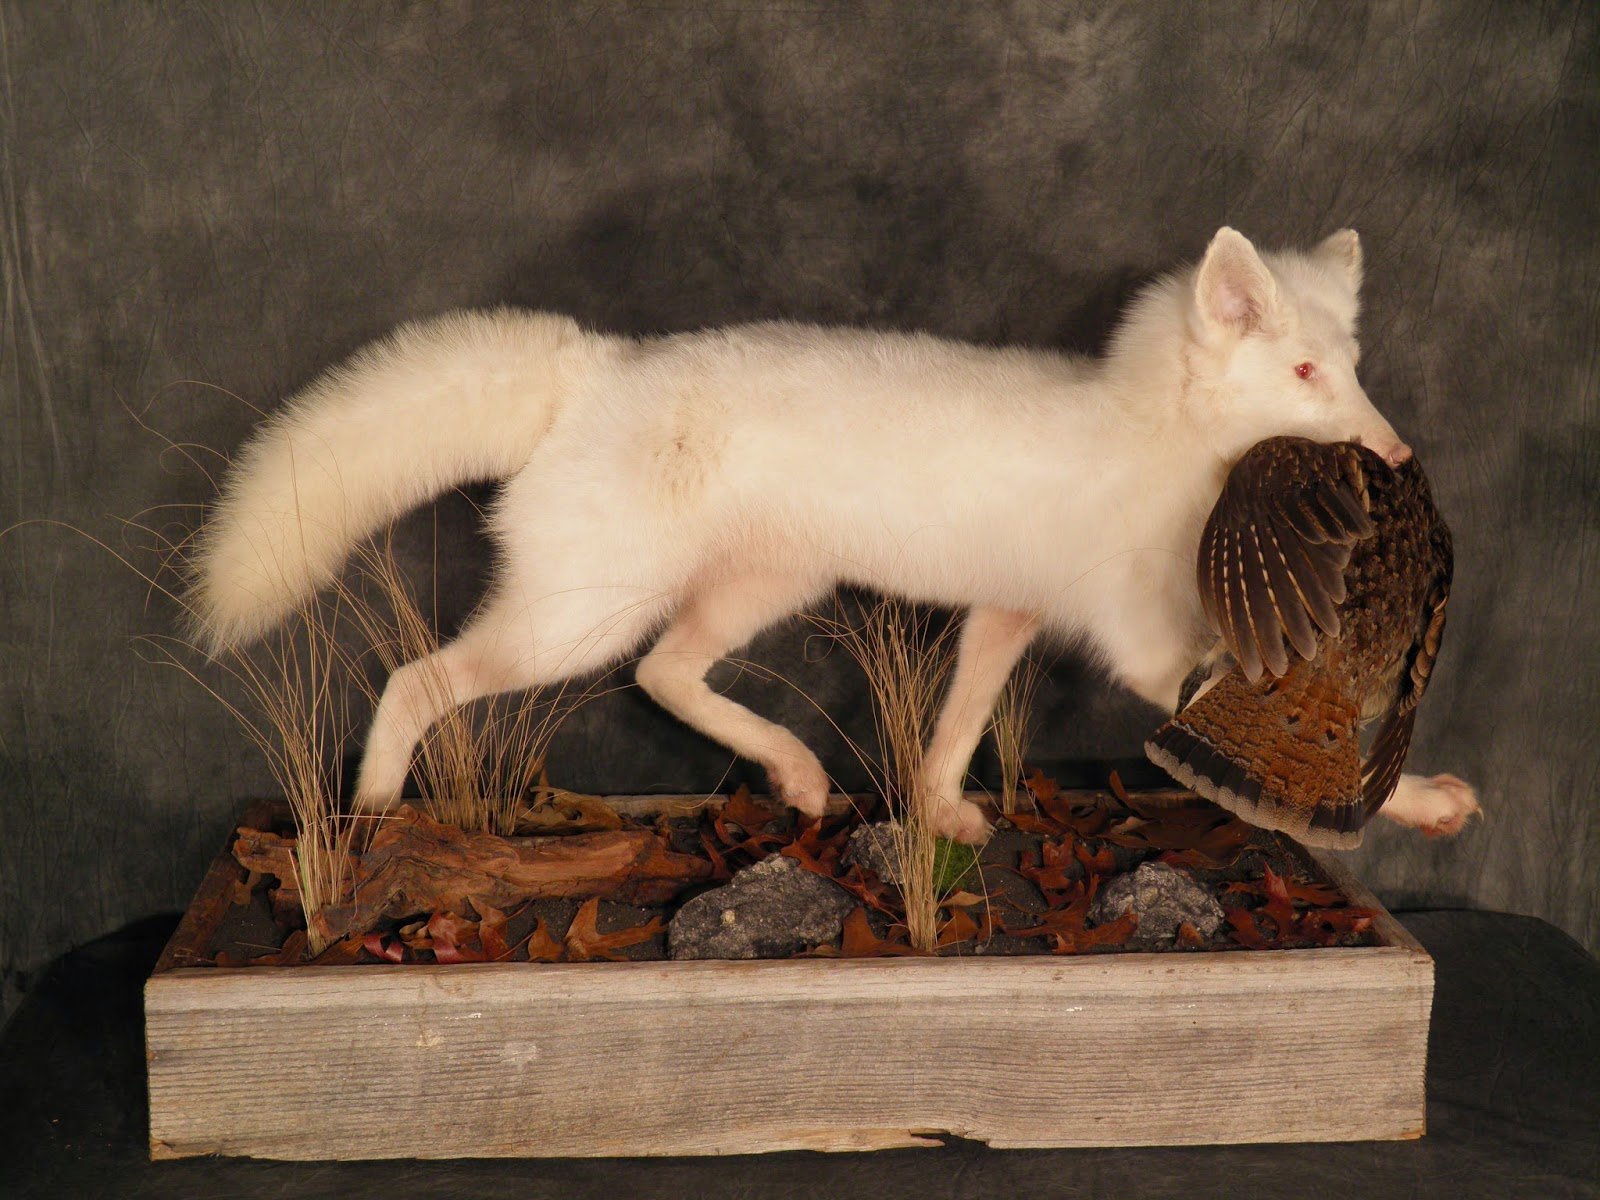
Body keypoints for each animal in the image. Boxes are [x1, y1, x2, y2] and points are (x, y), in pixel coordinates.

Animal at [193, 227, 1478, 844]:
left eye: (1352, 363)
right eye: (1305, 375)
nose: (1398, 457)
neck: (1140, 433)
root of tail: (598, 366)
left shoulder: (1005, 610)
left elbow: (955, 729)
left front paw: (941, 815)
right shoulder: (1146, 648)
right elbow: (1277, 732)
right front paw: (1412, 804)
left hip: (756, 590)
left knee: (664, 676)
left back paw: (799, 773)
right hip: (574, 620)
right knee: (420, 680)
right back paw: (374, 816)